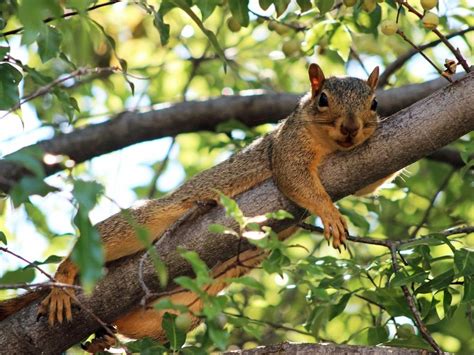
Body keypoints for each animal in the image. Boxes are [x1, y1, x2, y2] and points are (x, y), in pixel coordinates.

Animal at [0, 63, 388, 350]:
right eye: (322, 99)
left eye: (374, 104)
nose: (351, 128)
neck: (330, 145)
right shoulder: (285, 148)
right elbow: (294, 179)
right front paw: (329, 214)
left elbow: (369, 185)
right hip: (149, 222)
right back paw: (64, 279)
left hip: (178, 314)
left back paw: (103, 337)